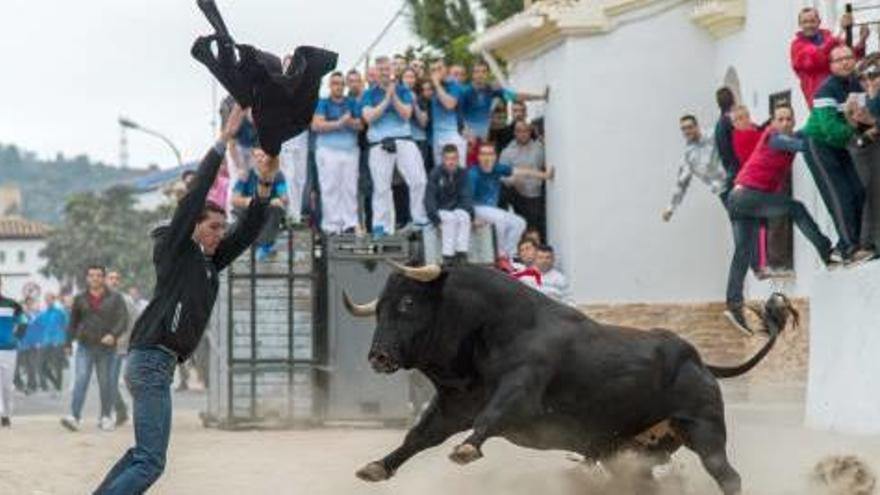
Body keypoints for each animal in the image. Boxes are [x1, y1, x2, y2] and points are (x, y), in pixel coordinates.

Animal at [344, 264, 796, 495]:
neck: (492, 327)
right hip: (629, 452)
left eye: (407, 303)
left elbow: (491, 417)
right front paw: (377, 467)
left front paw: (467, 450)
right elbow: (417, 436)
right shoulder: (454, 404)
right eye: (379, 308)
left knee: (728, 475)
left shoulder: (520, 392)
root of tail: (700, 363)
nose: (378, 356)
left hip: (703, 429)